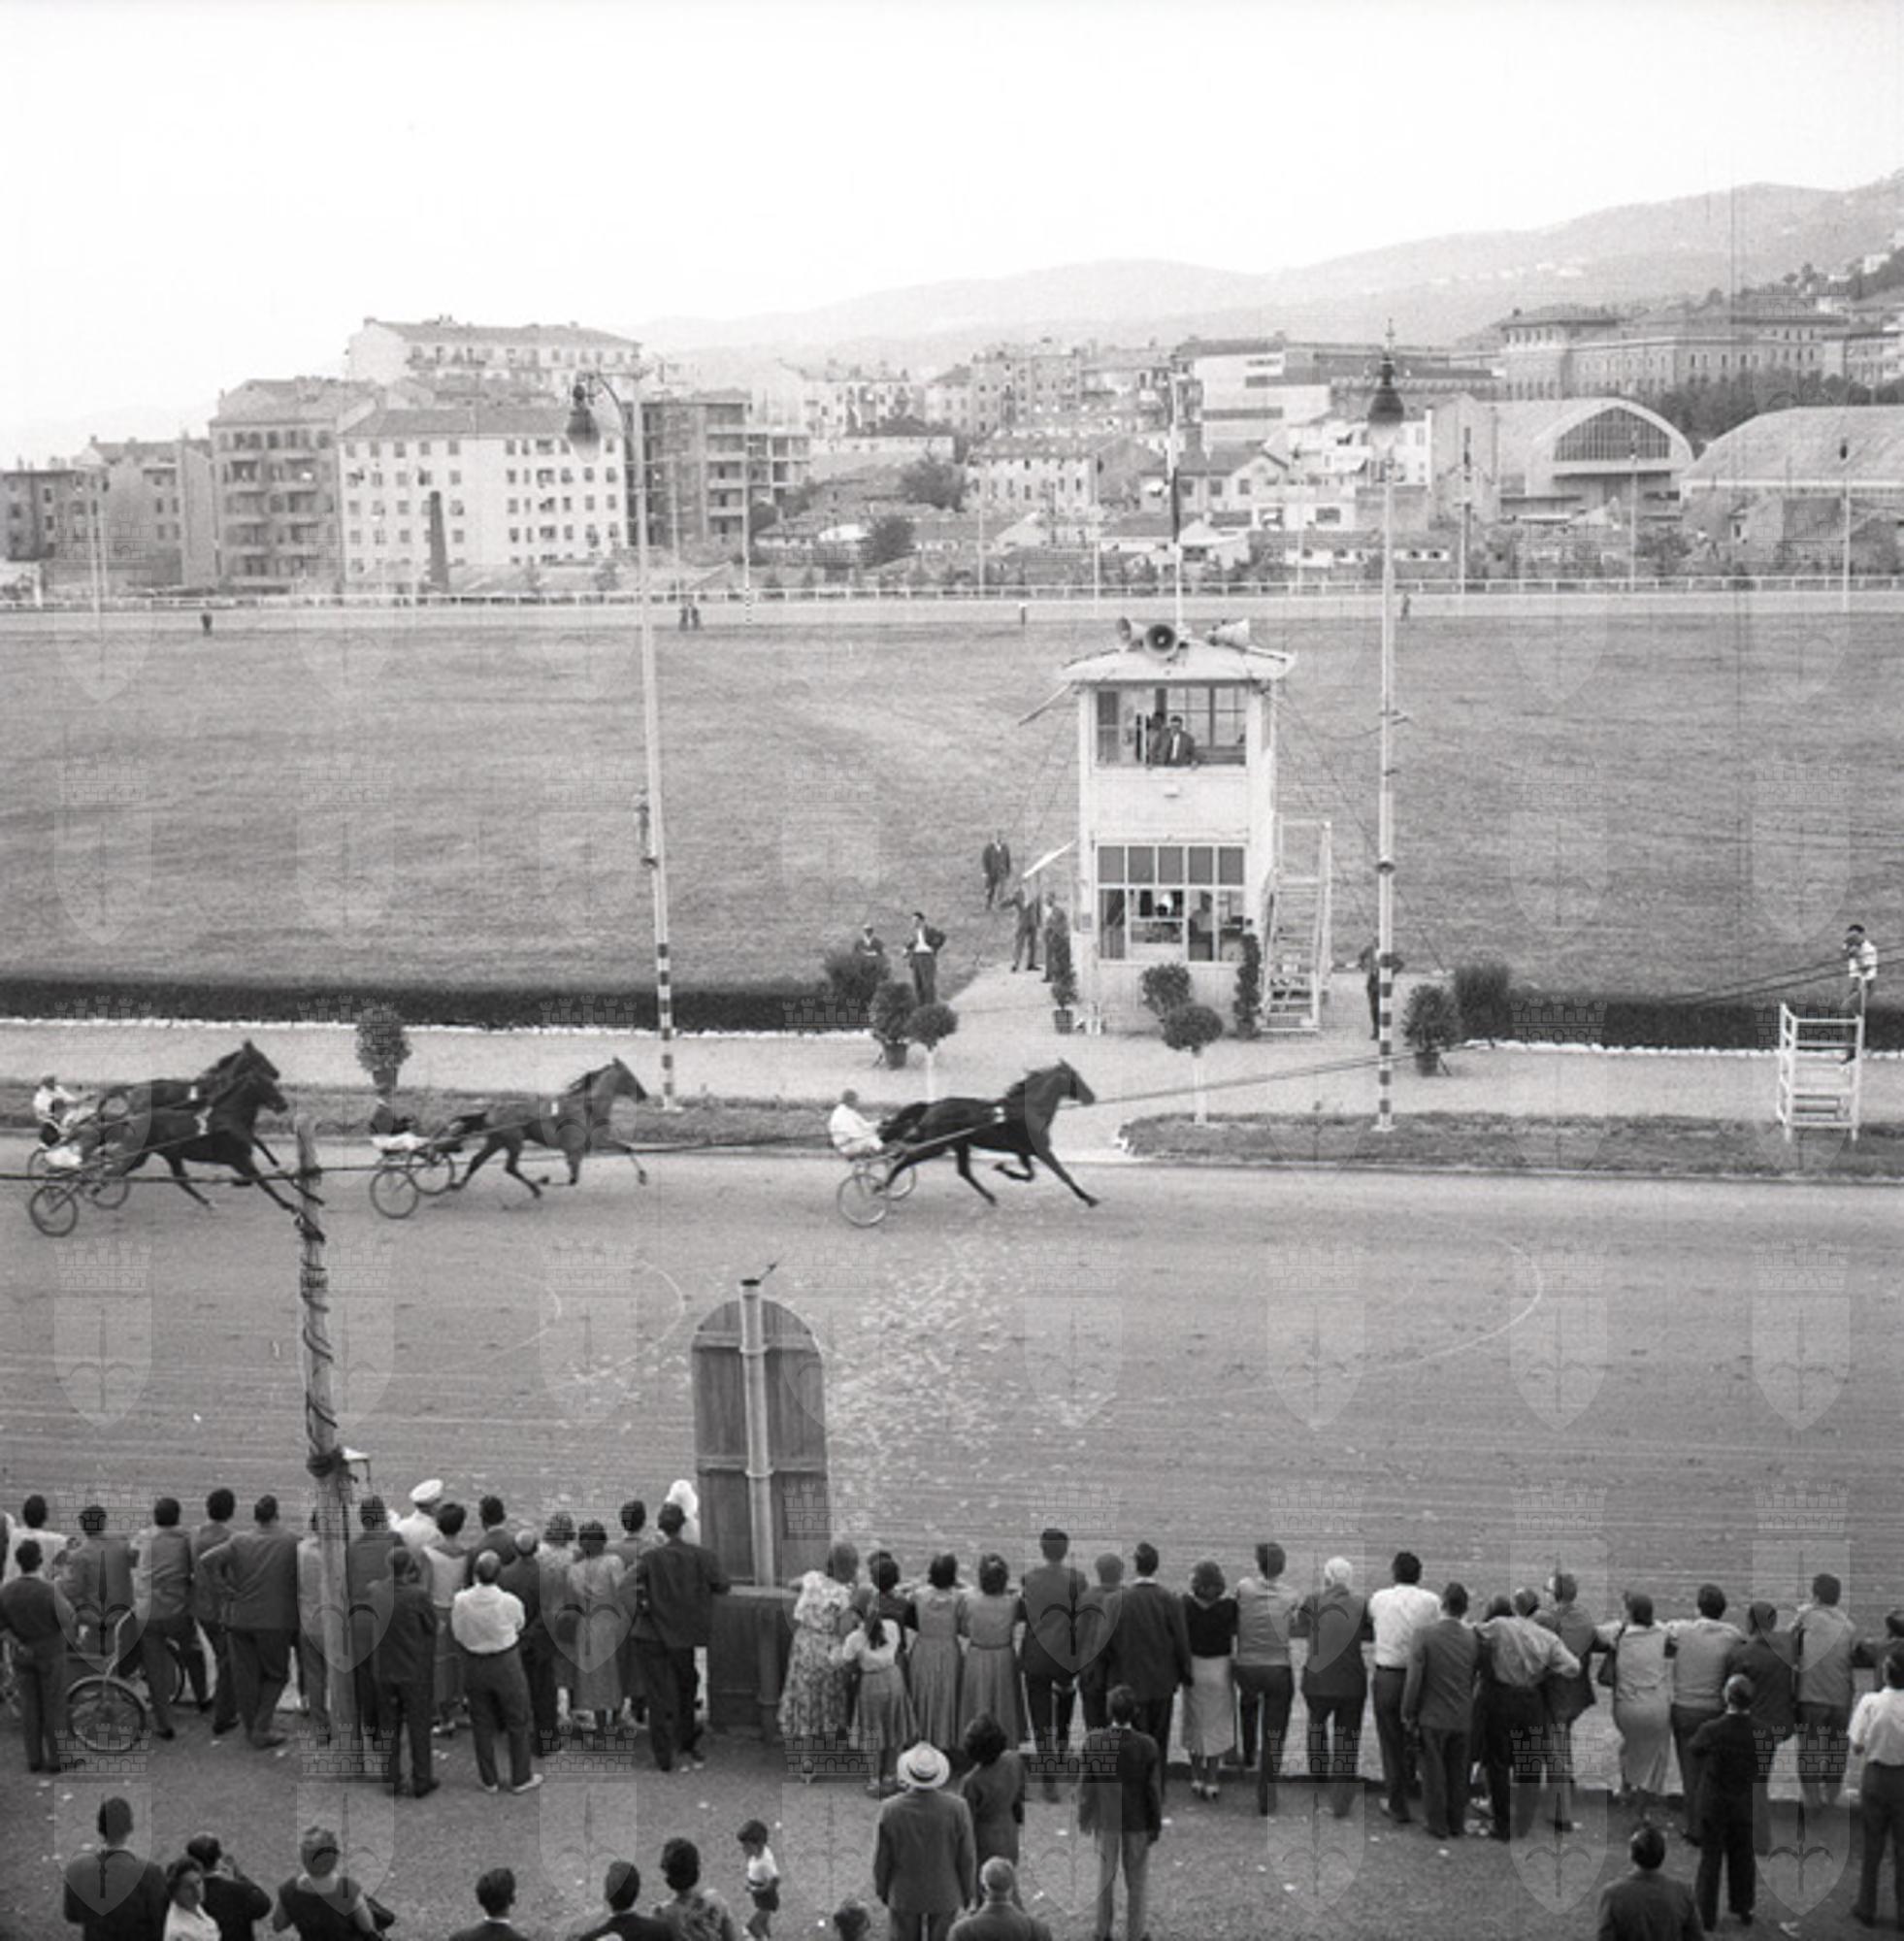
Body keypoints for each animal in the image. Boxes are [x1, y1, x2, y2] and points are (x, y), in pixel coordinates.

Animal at [109, 1065, 297, 1214]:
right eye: (267, 1085)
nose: (284, 1105)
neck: (229, 1118)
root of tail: (133, 1121)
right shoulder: (238, 1159)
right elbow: (261, 1181)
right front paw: (288, 1205)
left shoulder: (242, 1156)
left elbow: (256, 1172)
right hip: (142, 1154)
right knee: (118, 1169)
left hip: (168, 1155)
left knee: (180, 1179)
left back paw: (208, 1202)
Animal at [448, 1059, 651, 1200]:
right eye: (630, 1076)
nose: (644, 1095)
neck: (587, 1109)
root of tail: (491, 1111)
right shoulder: (579, 1148)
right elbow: (572, 1180)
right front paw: (543, 1180)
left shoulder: (596, 1142)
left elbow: (626, 1148)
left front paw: (642, 1176)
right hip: (514, 1142)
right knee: (510, 1167)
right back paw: (535, 1188)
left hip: (497, 1141)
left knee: (477, 1160)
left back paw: (457, 1185)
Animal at [880, 1061, 1100, 1207]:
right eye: (1076, 1078)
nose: (1092, 1097)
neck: (1027, 1109)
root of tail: (932, 1106)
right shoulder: (1041, 1151)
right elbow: (1062, 1174)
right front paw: (1089, 1198)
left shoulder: (1024, 1152)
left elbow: (1030, 1175)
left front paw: (1003, 1168)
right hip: (937, 1145)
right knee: (907, 1159)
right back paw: (883, 1185)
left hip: (960, 1144)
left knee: (964, 1171)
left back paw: (990, 1197)